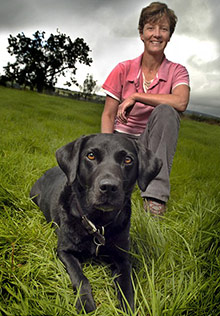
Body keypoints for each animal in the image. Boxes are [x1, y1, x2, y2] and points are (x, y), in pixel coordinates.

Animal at [29, 133, 162, 314]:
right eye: (91, 155)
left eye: (128, 159)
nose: (108, 187)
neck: (98, 223)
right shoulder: (64, 251)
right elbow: (80, 277)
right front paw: (86, 304)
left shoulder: (123, 259)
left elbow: (127, 288)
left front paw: (127, 309)